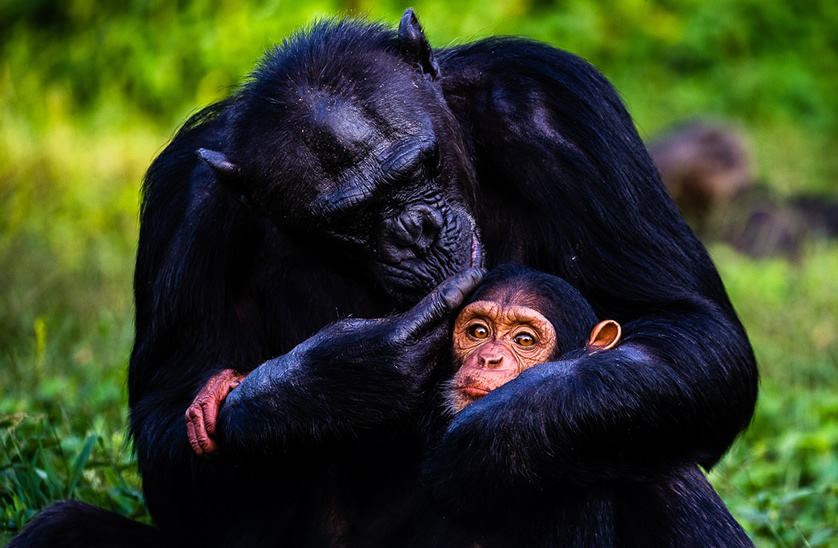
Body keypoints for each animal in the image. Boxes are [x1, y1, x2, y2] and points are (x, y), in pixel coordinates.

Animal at [9, 8, 760, 548]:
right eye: (354, 216)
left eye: (418, 167)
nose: (417, 229)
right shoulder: (183, 206)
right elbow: (170, 421)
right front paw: (331, 380)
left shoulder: (560, 105)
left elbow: (689, 322)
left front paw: (498, 440)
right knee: (60, 528)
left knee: (637, 449)